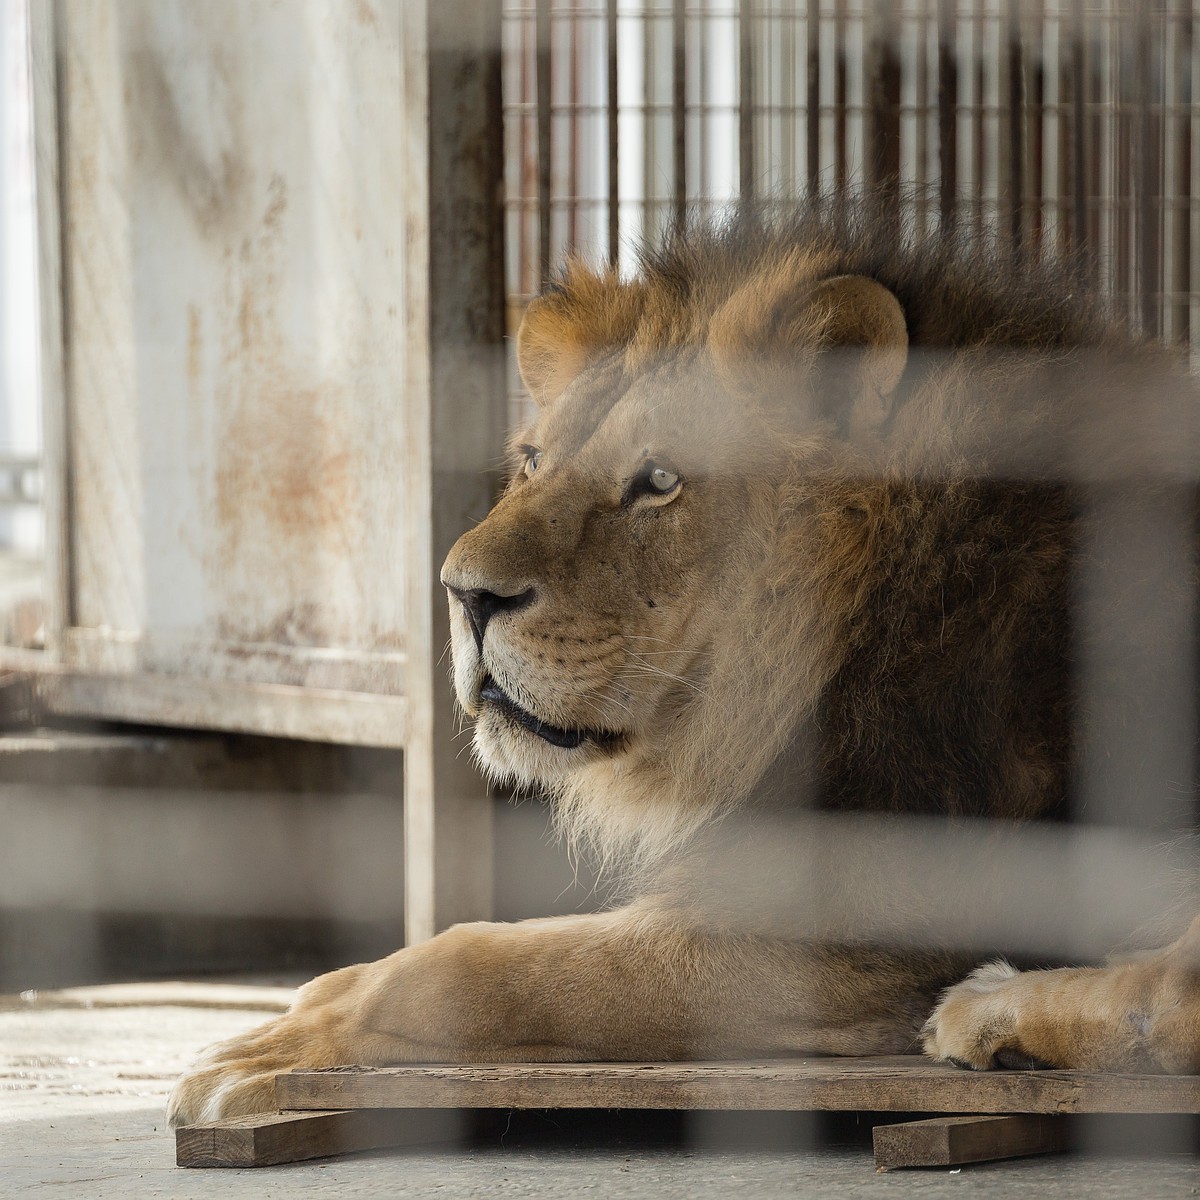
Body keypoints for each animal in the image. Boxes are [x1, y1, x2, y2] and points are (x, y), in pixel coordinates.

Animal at [171, 201, 1200, 1128]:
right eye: (532, 461)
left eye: (659, 481)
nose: (464, 595)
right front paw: (317, 997)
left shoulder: (846, 935)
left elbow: (481, 964)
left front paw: (268, 1049)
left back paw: (985, 1011)